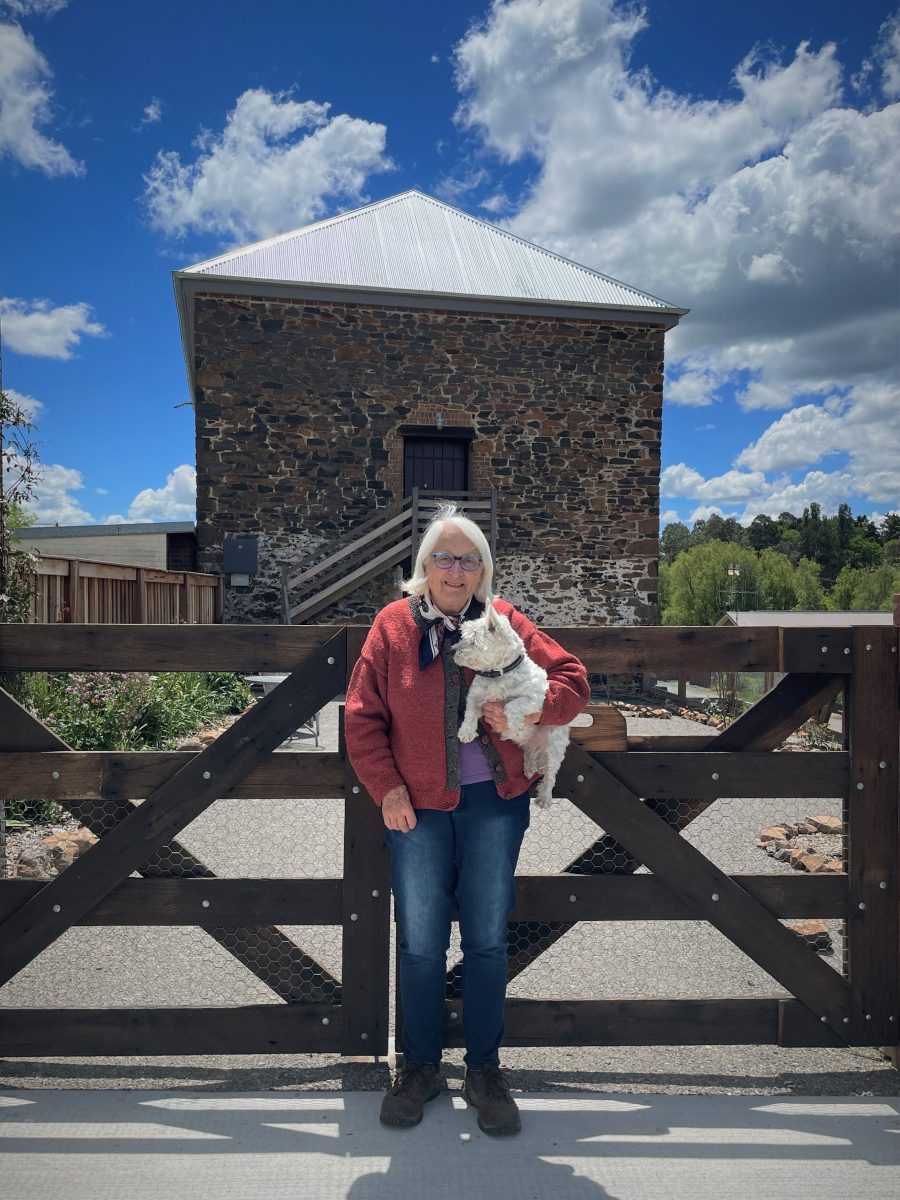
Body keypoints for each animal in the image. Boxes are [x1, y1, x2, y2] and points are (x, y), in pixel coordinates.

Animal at [453, 604, 573, 811]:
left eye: (473, 641)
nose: (453, 650)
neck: (497, 673)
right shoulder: (476, 696)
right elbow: (470, 712)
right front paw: (466, 732)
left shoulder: (536, 697)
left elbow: (512, 704)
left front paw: (515, 723)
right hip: (532, 747)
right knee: (530, 752)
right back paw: (530, 767)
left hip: (554, 745)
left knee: (550, 774)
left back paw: (545, 797)